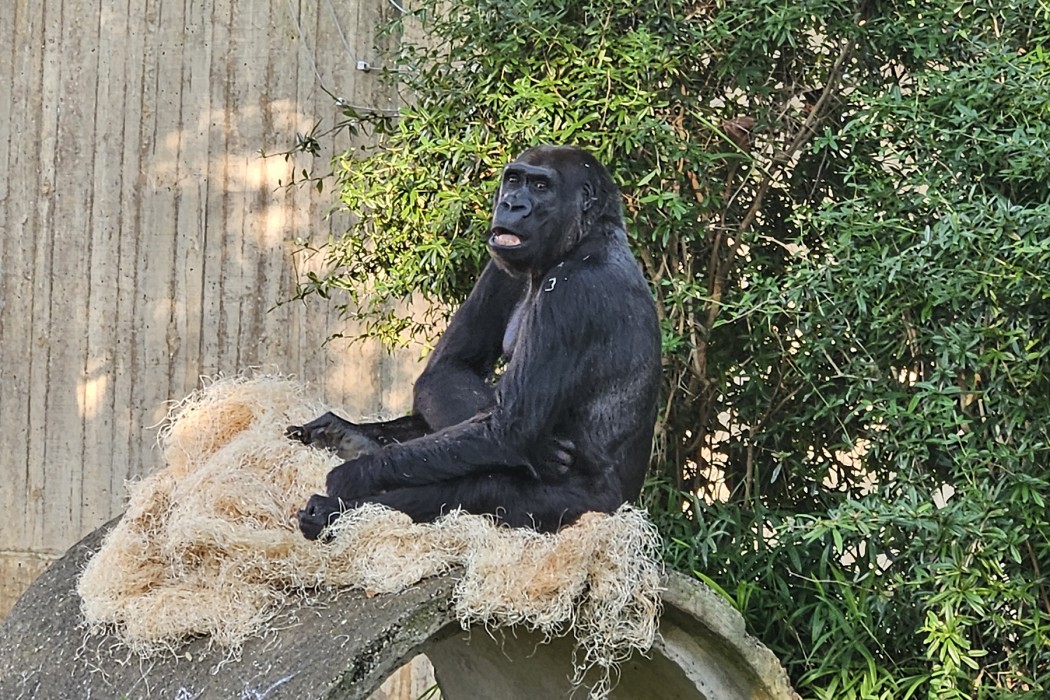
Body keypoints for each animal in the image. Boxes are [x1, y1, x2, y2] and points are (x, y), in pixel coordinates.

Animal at [287, 144, 659, 541]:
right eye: (514, 179)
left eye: (541, 186)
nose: (512, 204)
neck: (582, 239)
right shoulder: (503, 264)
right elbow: (449, 371)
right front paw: (544, 451)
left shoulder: (572, 291)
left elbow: (509, 429)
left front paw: (355, 475)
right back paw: (348, 437)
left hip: (589, 508)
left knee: (481, 487)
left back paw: (332, 511)